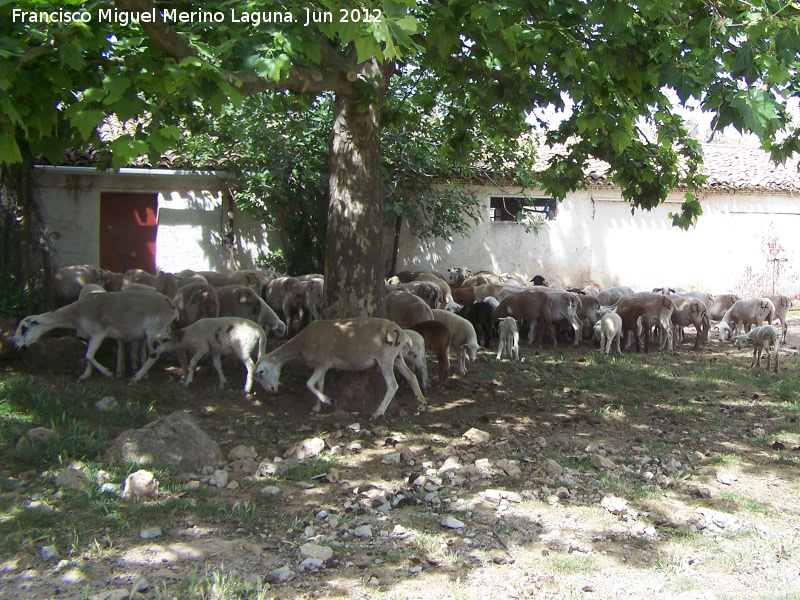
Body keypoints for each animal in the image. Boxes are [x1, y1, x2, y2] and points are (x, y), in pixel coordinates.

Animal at [14, 290, 178, 380]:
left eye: (24, 329)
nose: (16, 345)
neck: (75, 315)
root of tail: (171, 304)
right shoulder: (90, 336)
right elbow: (88, 357)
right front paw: (85, 375)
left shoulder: (98, 333)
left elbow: (88, 355)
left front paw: (107, 373)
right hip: (162, 330)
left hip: (153, 330)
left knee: (154, 355)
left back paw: (135, 378)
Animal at [133, 314, 268, 394]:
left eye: (156, 344)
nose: (151, 354)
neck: (187, 335)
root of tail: (260, 331)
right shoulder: (215, 350)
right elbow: (217, 365)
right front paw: (222, 383)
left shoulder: (201, 348)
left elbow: (192, 362)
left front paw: (188, 382)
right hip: (256, 347)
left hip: (242, 348)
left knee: (251, 366)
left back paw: (246, 390)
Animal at [255, 316, 428, 420]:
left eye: (261, 373)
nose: (271, 391)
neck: (302, 343)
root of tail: (403, 334)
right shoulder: (320, 366)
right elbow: (319, 384)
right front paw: (319, 406)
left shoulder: (324, 362)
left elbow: (309, 384)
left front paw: (329, 400)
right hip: (397, 358)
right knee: (412, 377)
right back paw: (421, 404)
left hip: (385, 358)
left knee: (392, 385)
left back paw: (377, 413)